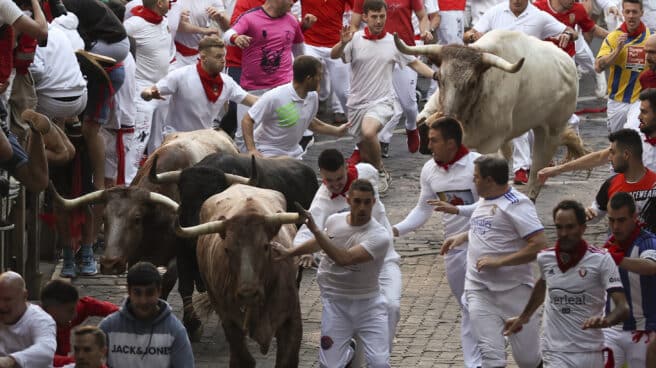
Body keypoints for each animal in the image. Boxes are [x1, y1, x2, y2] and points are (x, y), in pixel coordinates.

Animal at [398, 29, 588, 200]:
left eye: (472, 82)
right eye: (437, 77)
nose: (447, 117)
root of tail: (567, 62)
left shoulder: (489, 144)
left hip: (550, 132)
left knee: (536, 174)